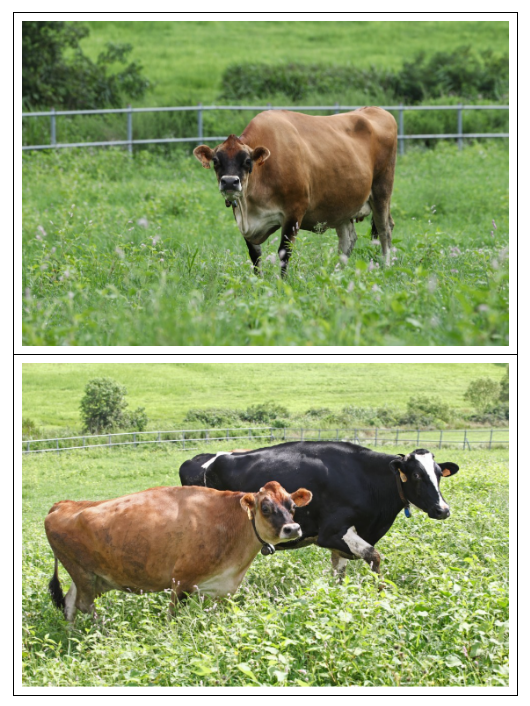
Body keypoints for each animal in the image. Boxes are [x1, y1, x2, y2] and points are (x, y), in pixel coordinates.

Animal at [45, 478, 312, 620]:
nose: (293, 528)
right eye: (265, 508)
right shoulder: (181, 581)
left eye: (292, 506)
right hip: (83, 573)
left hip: (89, 577)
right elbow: (173, 617)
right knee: (83, 605)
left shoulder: (221, 589)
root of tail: (62, 504)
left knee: (70, 603)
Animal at [178, 442, 458, 576]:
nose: (443, 510)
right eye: (416, 475)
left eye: (438, 474)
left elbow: (339, 572)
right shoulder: (331, 532)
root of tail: (200, 458)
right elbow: (374, 556)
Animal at [194, 106, 396, 274]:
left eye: (247, 161)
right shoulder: (244, 223)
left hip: (382, 191)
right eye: (216, 161)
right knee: (348, 239)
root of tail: (375, 109)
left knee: (384, 229)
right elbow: (255, 255)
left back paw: (386, 266)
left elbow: (284, 252)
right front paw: (258, 282)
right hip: (342, 204)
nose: (229, 182)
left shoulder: (294, 212)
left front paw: (281, 283)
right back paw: (336, 274)